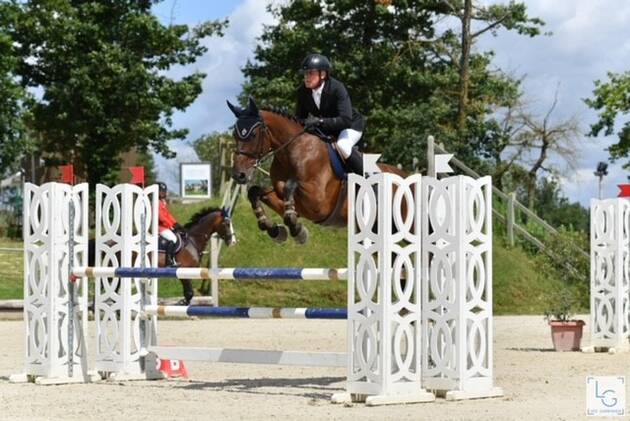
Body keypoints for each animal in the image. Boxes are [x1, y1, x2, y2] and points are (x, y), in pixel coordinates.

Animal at [230, 96, 408, 243]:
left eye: (253, 135)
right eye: (234, 135)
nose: (239, 175)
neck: (292, 152)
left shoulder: (318, 203)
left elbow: (290, 186)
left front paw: (298, 231)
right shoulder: (294, 204)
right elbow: (256, 192)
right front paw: (274, 230)